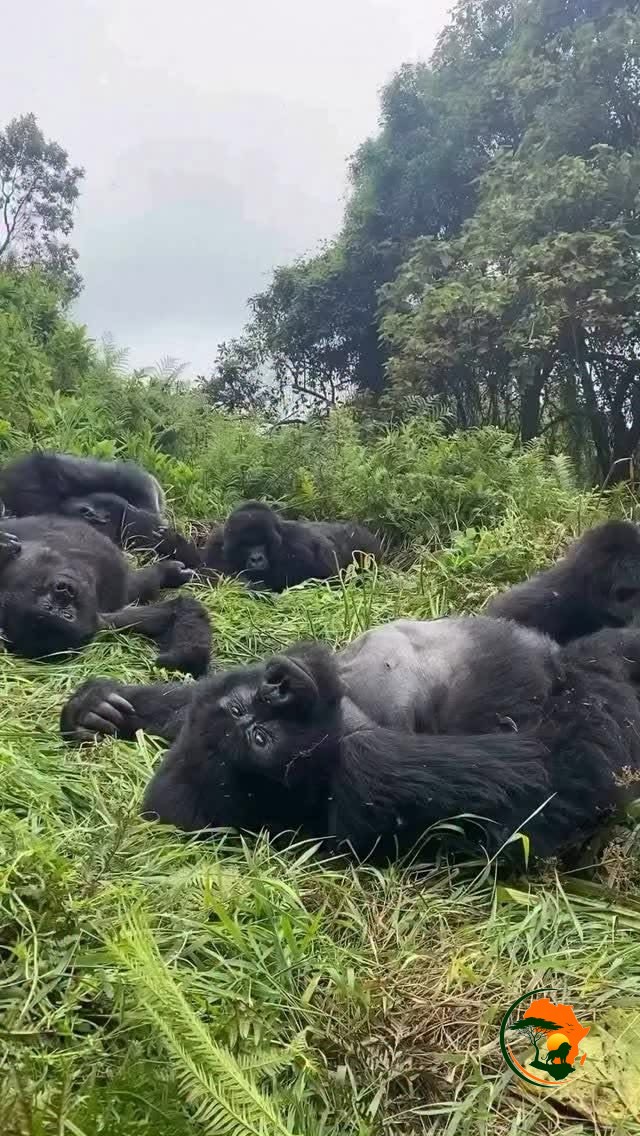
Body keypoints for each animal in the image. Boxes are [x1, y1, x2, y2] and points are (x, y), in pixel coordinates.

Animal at [59, 614, 640, 866]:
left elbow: (191, 702)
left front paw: (97, 707)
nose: (277, 683)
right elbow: (560, 771)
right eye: (260, 737)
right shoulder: (366, 770)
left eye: (246, 713)